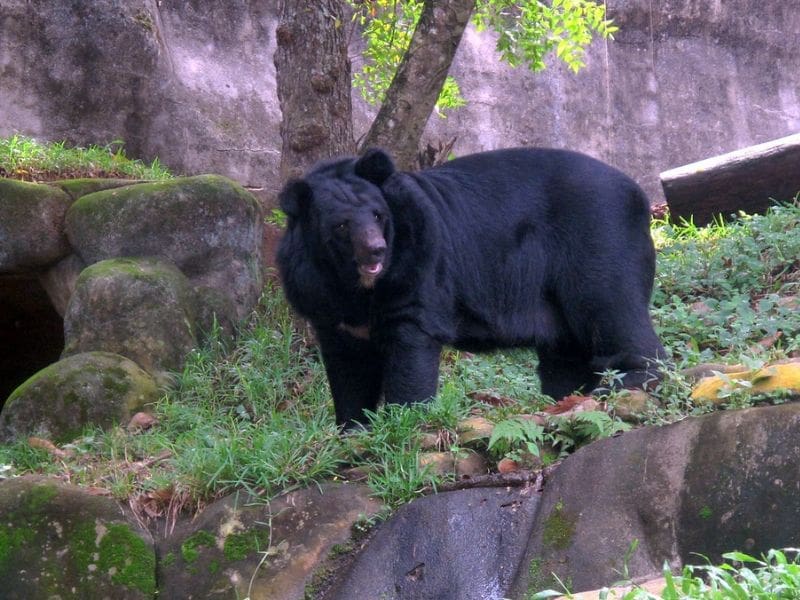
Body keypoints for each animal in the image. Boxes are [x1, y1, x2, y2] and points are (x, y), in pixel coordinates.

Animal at [278, 146, 664, 426]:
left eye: (377, 214)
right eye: (342, 226)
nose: (376, 250)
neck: (355, 285)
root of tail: (639, 193)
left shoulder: (415, 262)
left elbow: (410, 342)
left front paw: (405, 419)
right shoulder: (320, 299)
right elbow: (348, 366)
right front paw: (353, 428)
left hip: (599, 238)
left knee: (610, 305)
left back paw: (631, 379)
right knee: (565, 356)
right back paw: (569, 396)